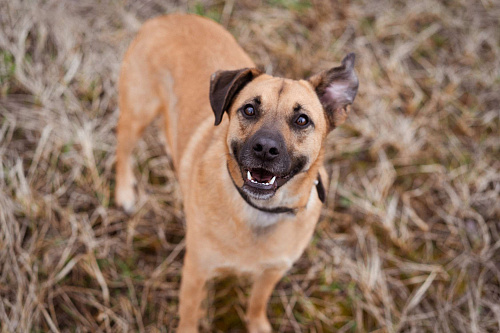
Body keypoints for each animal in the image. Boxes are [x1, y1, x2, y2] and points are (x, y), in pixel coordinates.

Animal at [115, 13, 358, 332]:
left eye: (302, 120)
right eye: (249, 110)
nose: (265, 149)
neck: (260, 211)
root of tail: (168, 16)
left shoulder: (272, 272)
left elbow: (257, 303)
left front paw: (257, 324)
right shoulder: (196, 271)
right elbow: (189, 314)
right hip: (138, 112)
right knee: (123, 150)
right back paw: (124, 192)